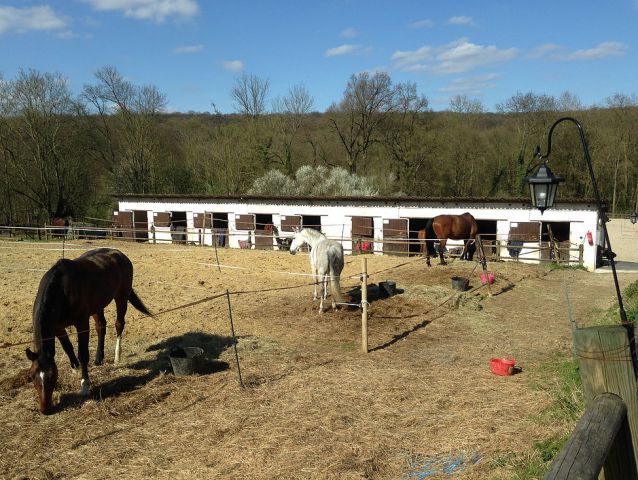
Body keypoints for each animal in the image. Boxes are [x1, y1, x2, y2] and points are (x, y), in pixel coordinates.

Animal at [24, 248, 152, 412]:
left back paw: (117, 356)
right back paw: (98, 358)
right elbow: (68, 347)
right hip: (98, 306)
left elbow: (83, 354)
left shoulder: (82, 324)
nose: (45, 409)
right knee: (101, 327)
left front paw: (84, 384)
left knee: (119, 324)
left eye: (52, 375)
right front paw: (74, 368)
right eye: (32, 376)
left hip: (121, 297)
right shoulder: (57, 327)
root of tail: (120, 254)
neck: (62, 290)